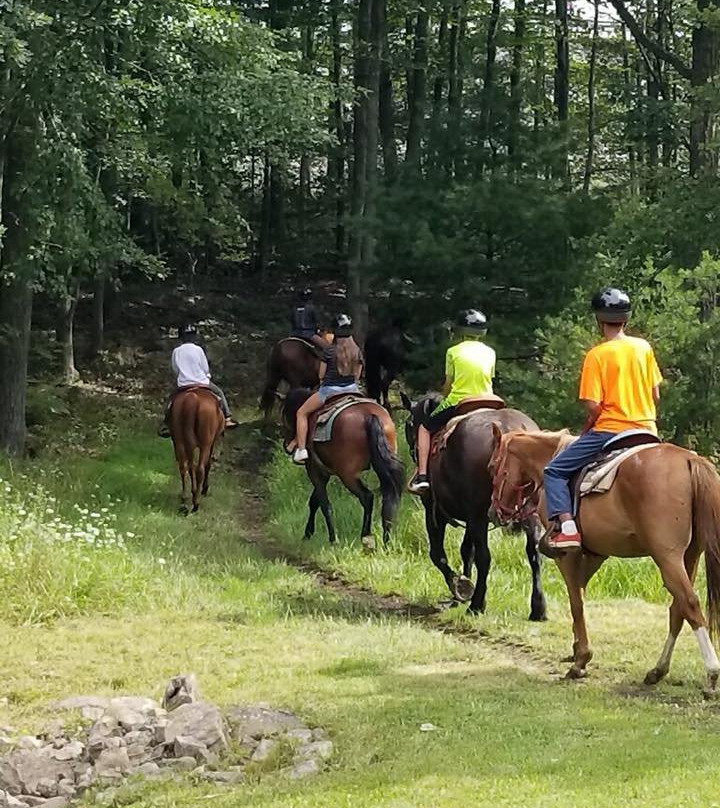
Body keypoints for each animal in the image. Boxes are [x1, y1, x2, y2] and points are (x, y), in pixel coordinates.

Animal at [282, 390, 404, 544]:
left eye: (285, 416)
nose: (286, 445)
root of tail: (369, 415)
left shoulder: (314, 471)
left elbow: (324, 504)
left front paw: (332, 539)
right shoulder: (325, 473)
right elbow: (314, 501)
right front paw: (308, 533)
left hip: (347, 475)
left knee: (367, 497)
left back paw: (365, 535)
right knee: (388, 498)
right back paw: (386, 538)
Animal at [400, 392, 544, 620]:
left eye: (409, 423)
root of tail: (507, 432)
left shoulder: (435, 511)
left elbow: (438, 554)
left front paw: (460, 588)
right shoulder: (470, 517)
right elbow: (466, 550)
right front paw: (463, 587)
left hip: (478, 515)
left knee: (485, 558)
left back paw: (477, 605)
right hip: (528, 511)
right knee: (534, 552)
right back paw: (538, 608)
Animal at [492, 430, 720, 696]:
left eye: (493, 466)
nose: (493, 512)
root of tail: (689, 460)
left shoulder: (567, 556)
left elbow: (576, 602)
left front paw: (580, 660)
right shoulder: (596, 554)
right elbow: (580, 594)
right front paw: (576, 650)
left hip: (668, 556)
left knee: (690, 603)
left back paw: (711, 673)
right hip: (689, 555)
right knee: (678, 608)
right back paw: (658, 670)